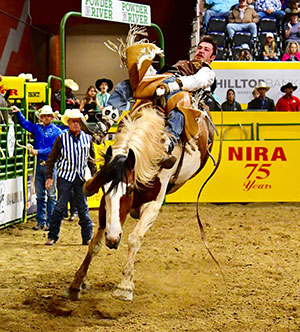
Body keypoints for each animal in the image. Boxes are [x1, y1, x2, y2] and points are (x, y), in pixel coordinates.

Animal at [65, 100, 213, 302]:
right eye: (104, 188)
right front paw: (77, 282)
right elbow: (95, 243)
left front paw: (125, 286)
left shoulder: (153, 206)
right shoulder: (105, 207)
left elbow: (134, 239)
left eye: (129, 190)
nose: (113, 239)